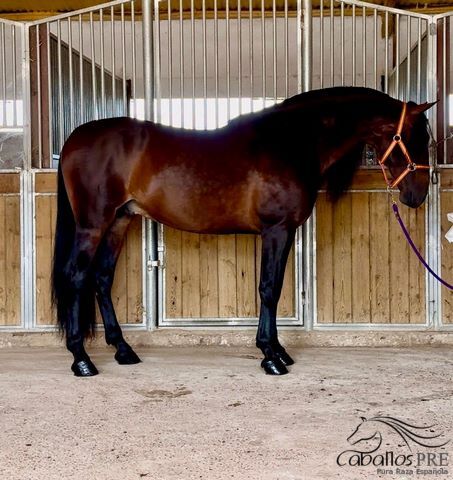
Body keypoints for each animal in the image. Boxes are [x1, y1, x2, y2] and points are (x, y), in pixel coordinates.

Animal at [51, 88, 432, 376]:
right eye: (413, 138)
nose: (418, 195)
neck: (292, 142)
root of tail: (75, 138)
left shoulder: (285, 232)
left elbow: (274, 289)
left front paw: (278, 350)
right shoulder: (276, 230)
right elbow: (269, 289)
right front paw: (271, 357)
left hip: (119, 221)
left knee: (101, 279)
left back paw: (123, 350)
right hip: (93, 225)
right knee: (76, 277)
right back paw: (82, 360)